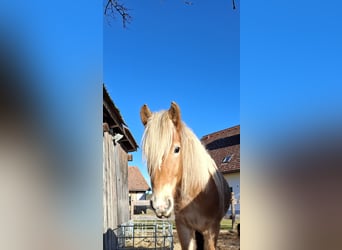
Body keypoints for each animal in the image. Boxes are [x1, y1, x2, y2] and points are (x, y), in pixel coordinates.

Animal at [140, 102, 231, 250]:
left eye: (177, 149)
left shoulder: (212, 230)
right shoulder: (184, 229)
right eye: (147, 154)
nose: (160, 205)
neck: (197, 194)